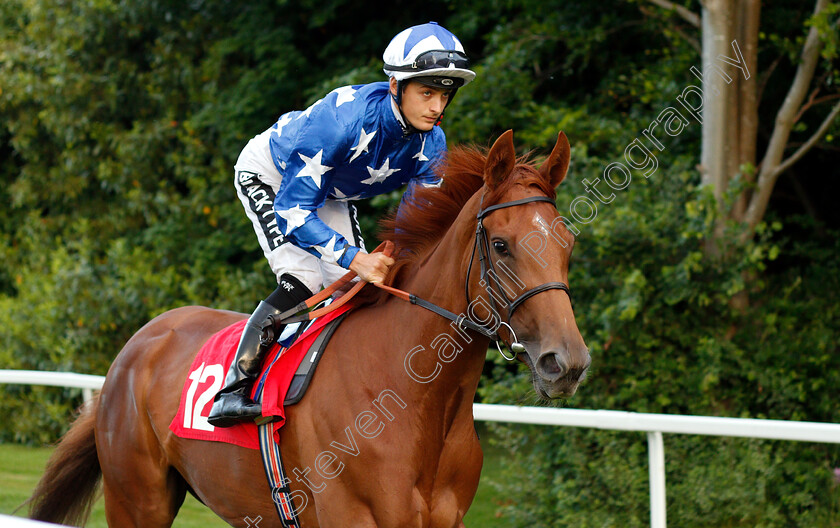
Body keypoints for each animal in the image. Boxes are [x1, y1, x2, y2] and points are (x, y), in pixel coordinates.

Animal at [27, 130, 592, 524]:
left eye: (567, 242)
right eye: (500, 245)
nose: (566, 362)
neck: (414, 398)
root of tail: (137, 345)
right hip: (136, 499)